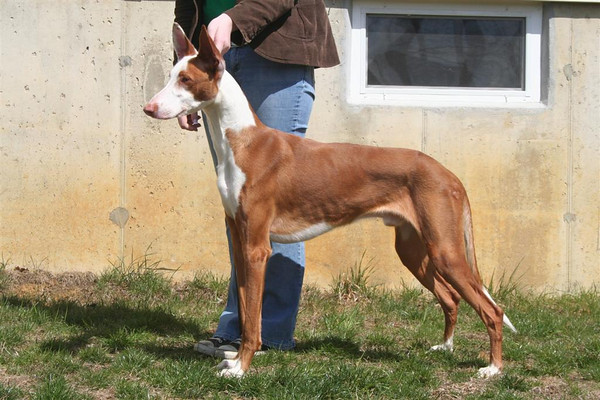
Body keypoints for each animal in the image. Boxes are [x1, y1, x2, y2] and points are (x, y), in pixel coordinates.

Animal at [144, 22, 516, 378]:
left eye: (186, 79)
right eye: (171, 75)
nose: (148, 108)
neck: (242, 142)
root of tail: (449, 174)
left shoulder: (258, 248)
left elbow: (254, 322)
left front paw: (241, 368)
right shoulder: (238, 239)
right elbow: (247, 309)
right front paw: (233, 360)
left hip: (446, 251)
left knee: (492, 309)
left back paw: (493, 369)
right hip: (414, 250)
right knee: (451, 298)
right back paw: (445, 347)